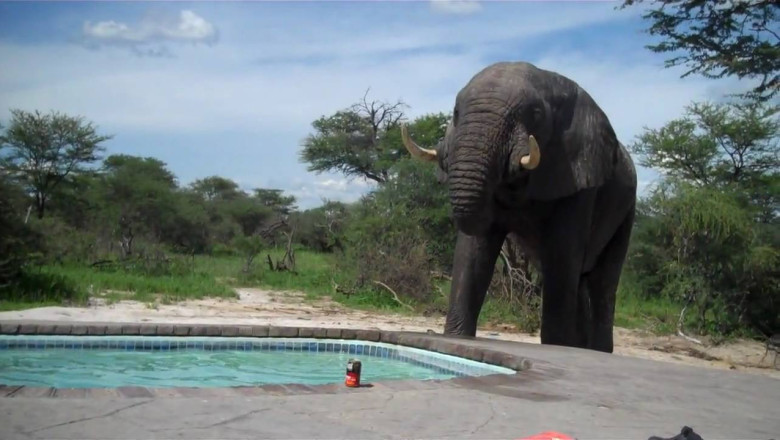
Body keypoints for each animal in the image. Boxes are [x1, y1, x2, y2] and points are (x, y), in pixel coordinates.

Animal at [401, 61, 637, 353]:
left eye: (535, 114)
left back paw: (595, 351)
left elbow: (562, 252)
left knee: (602, 283)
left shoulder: (580, 176)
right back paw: (580, 348)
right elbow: (474, 249)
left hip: (627, 210)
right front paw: (457, 338)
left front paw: (557, 347)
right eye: (456, 113)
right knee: (580, 278)